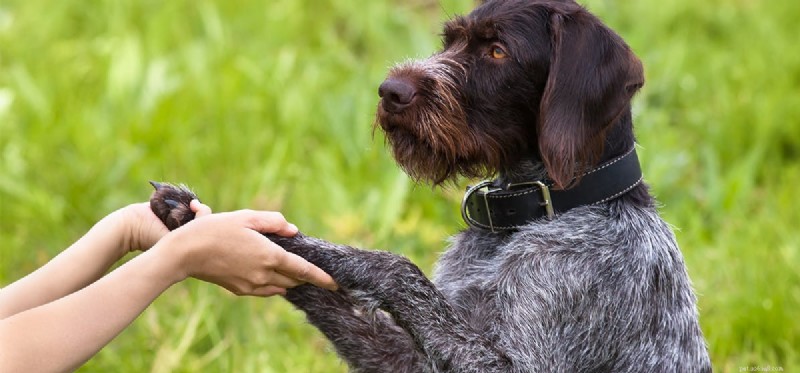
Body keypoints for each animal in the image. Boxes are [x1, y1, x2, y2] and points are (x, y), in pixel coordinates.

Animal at [150, 0, 712, 370]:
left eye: (497, 51)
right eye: (451, 41)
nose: (390, 91)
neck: (540, 212)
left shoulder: (512, 365)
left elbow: (397, 268)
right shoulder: (412, 357)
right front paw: (216, 226)